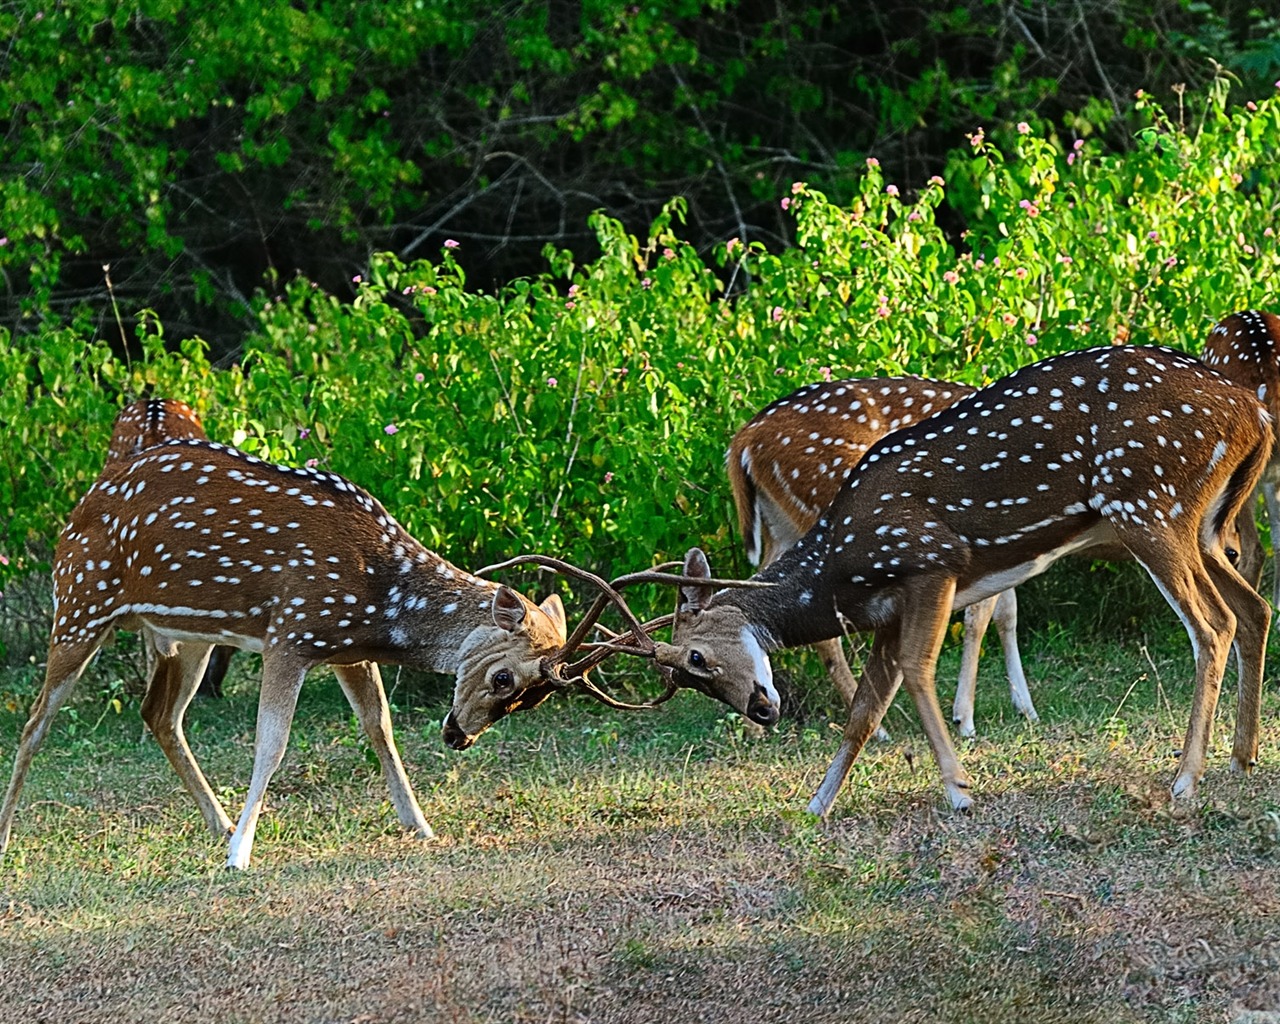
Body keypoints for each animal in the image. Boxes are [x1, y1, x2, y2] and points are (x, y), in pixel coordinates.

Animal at [0, 435, 570, 870]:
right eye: (504, 678)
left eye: (535, 698)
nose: (459, 737)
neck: (381, 599)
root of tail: (79, 506)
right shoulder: (291, 633)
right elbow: (271, 745)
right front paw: (239, 856)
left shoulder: (343, 648)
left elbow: (380, 727)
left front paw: (421, 825)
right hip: (81, 602)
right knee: (35, 722)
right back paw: (7, 834)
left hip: (191, 634)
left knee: (158, 712)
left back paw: (218, 821)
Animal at [650, 348, 1269, 814]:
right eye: (685, 676)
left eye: (697, 656)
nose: (760, 709)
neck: (842, 567)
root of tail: (1255, 416)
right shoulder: (888, 611)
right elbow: (865, 710)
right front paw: (817, 805)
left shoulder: (931, 563)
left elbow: (920, 667)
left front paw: (960, 787)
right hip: (1199, 525)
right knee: (1254, 609)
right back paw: (1242, 758)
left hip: (1147, 503)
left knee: (1215, 623)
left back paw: (1186, 779)